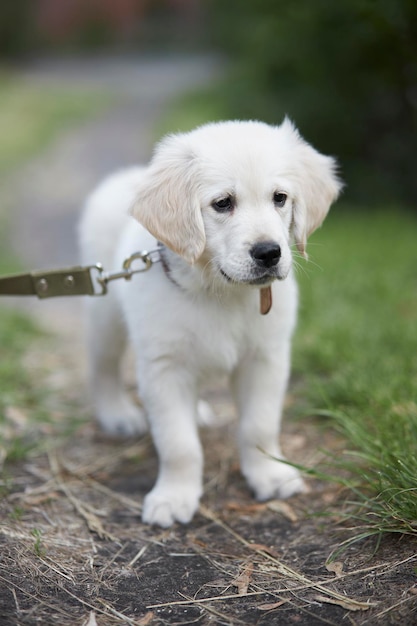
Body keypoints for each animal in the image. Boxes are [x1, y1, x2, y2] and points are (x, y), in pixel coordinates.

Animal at [79, 118, 342, 528]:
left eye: (280, 198)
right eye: (222, 203)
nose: (269, 253)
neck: (222, 293)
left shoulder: (266, 358)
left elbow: (259, 425)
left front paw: (270, 476)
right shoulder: (164, 367)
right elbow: (178, 443)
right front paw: (173, 497)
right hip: (104, 316)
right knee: (102, 367)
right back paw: (118, 415)